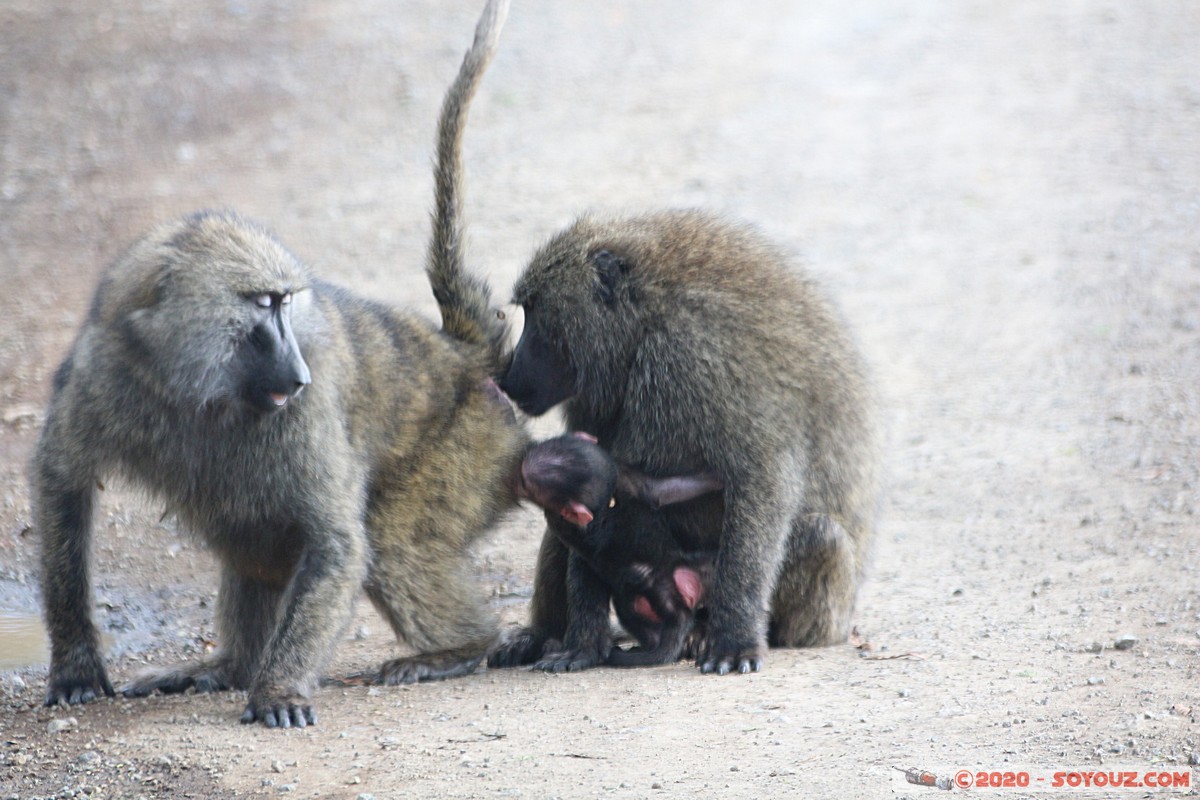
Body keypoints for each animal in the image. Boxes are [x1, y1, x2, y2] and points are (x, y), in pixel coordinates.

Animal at [33, 0, 515, 728]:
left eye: (288, 304)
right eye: (263, 306)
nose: (299, 375)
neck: (193, 386)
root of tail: (456, 351)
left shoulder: (305, 417)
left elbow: (338, 541)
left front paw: (280, 690)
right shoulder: (99, 373)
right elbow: (63, 485)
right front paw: (77, 667)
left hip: (471, 445)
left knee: (385, 541)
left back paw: (458, 649)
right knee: (252, 539)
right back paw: (229, 667)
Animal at [488, 211, 880, 676]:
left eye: (537, 315)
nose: (510, 377)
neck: (647, 319)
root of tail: (841, 619)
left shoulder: (696, 356)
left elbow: (762, 477)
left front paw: (734, 642)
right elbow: (595, 493)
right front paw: (582, 644)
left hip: (820, 607)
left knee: (819, 533)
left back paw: (705, 633)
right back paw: (542, 636)